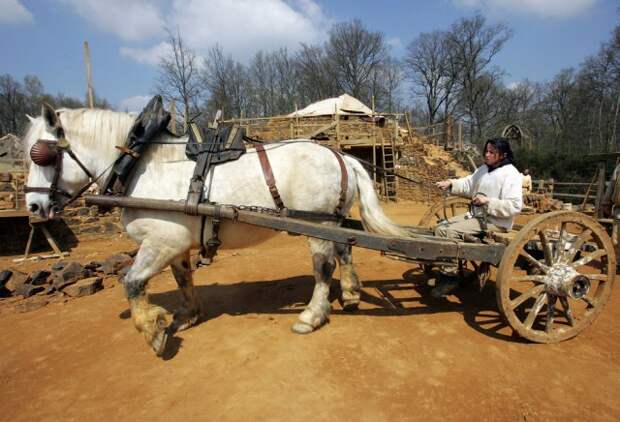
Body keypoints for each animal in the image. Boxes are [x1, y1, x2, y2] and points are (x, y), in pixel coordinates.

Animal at [24, 104, 406, 354]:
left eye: (40, 154)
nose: (33, 207)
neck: (141, 165)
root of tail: (342, 156)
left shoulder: (160, 241)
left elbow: (131, 283)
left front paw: (153, 331)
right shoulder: (175, 243)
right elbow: (182, 278)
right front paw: (187, 315)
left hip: (317, 224)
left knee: (323, 267)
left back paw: (311, 315)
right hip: (334, 220)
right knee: (346, 249)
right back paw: (352, 293)